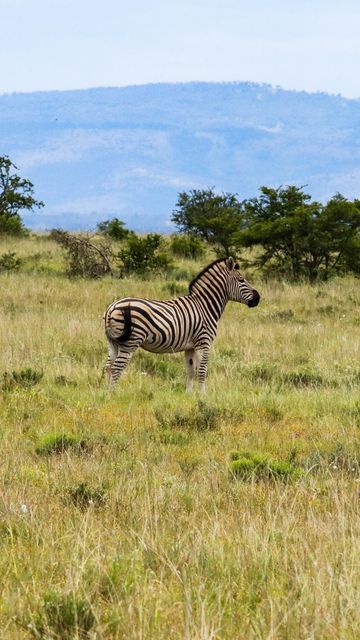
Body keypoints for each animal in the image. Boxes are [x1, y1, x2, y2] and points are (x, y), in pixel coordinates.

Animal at [102, 258, 260, 392]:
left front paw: (189, 395)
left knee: (108, 366)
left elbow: (190, 371)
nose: (258, 298)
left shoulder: (190, 347)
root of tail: (112, 307)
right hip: (130, 342)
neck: (205, 306)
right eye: (241, 280)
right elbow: (202, 371)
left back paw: (105, 394)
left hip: (113, 342)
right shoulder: (204, 342)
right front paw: (203, 395)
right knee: (117, 368)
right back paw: (114, 393)